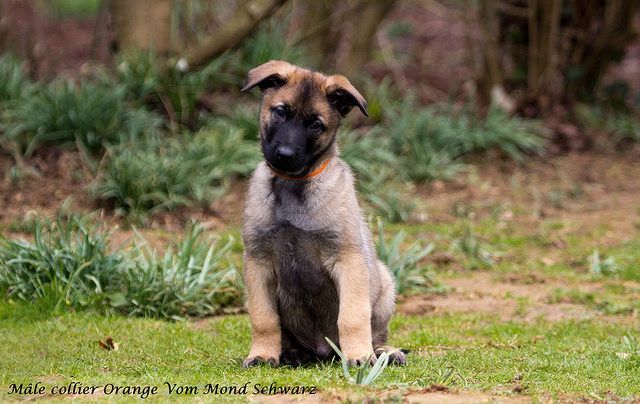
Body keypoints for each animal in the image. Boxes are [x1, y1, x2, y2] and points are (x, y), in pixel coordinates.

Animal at [240, 60, 405, 367]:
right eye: (280, 112)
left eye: (315, 125)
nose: (284, 154)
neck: (294, 186)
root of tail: (322, 351)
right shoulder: (258, 262)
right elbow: (263, 318)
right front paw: (262, 353)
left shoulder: (348, 259)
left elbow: (353, 316)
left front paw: (359, 356)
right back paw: (291, 353)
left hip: (385, 280)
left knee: (377, 332)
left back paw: (382, 352)